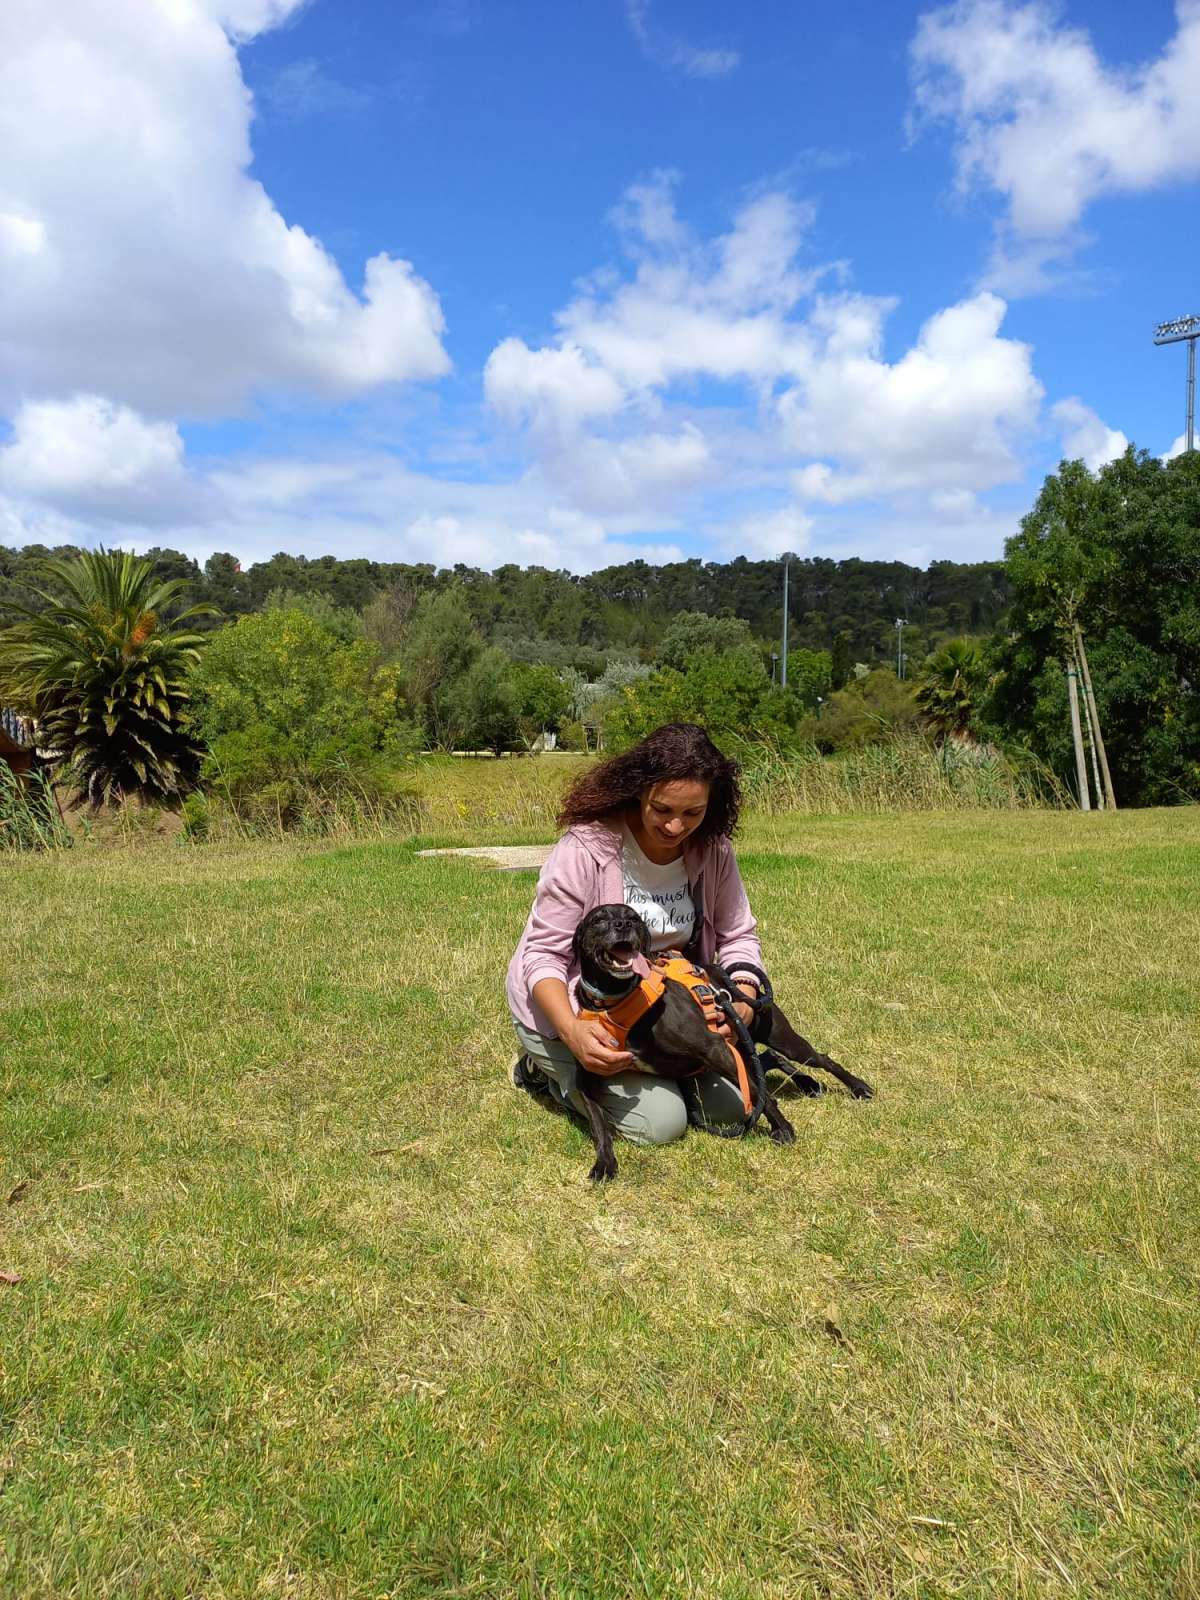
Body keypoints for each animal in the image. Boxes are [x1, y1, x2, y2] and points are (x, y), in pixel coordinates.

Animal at [572, 908, 876, 1184]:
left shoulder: (713, 1047)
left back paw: (858, 1087)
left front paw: (783, 1128)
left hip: (777, 1038)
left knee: (820, 1059)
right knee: (768, 1059)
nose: (623, 925)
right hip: (742, 1049)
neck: (616, 1002)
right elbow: (599, 1126)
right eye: (599, 919)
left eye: (634, 918)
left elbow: (759, 1095)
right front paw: (605, 1164)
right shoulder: (587, 1073)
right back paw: (808, 1083)